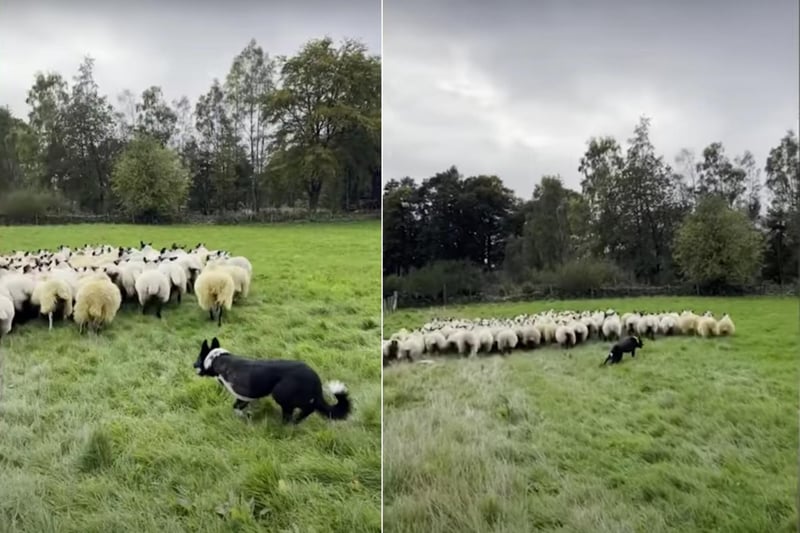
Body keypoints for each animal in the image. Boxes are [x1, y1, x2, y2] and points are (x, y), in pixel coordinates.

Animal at [193, 336, 350, 424]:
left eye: (198, 358)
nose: (193, 365)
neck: (217, 360)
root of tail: (315, 380)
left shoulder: (242, 394)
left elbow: (236, 407)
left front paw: (244, 416)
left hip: (281, 393)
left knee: (304, 410)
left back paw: (291, 422)